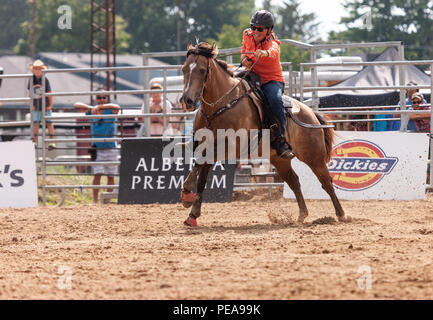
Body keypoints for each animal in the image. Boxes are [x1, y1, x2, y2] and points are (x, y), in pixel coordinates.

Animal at [179, 42, 352, 228]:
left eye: (202, 70)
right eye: (183, 69)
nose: (187, 100)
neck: (221, 105)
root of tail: (311, 113)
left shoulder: (230, 146)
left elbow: (199, 167)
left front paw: (186, 194)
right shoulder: (206, 146)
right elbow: (201, 177)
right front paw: (192, 213)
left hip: (313, 156)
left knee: (326, 182)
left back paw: (341, 215)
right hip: (280, 159)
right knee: (294, 182)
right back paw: (302, 215)